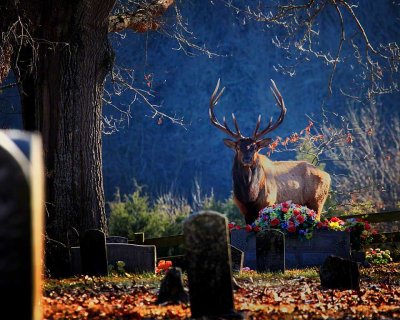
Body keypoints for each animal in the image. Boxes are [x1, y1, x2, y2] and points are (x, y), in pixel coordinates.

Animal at [209, 79, 332, 225]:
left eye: (255, 147)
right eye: (238, 147)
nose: (247, 159)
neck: (249, 197)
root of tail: (327, 175)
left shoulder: (268, 202)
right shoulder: (243, 209)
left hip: (318, 201)